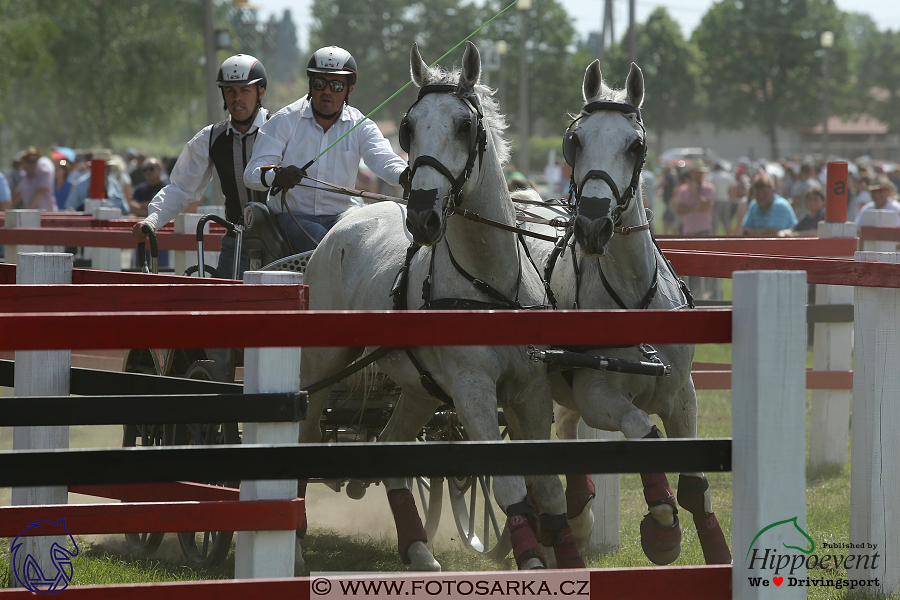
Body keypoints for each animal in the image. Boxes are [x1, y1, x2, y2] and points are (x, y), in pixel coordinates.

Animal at [298, 43, 588, 572]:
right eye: (408, 128)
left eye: (465, 127)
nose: (421, 215)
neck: (491, 283)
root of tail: (346, 222)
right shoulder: (472, 391)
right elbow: (511, 487)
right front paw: (533, 560)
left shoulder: (530, 391)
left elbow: (547, 487)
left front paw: (569, 560)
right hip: (322, 365)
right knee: (304, 439)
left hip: (419, 390)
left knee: (391, 447)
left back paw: (416, 548)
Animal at [520, 62, 732, 568]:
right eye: (574, 141)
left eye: (635, 145)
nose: (592, 225)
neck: (635, 299)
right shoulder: (597, 392)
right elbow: (643, 434)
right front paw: (662, 527)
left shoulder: (681, 393)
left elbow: (695, 487)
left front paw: (716, 550)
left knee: (565, 429)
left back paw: (577, 512)